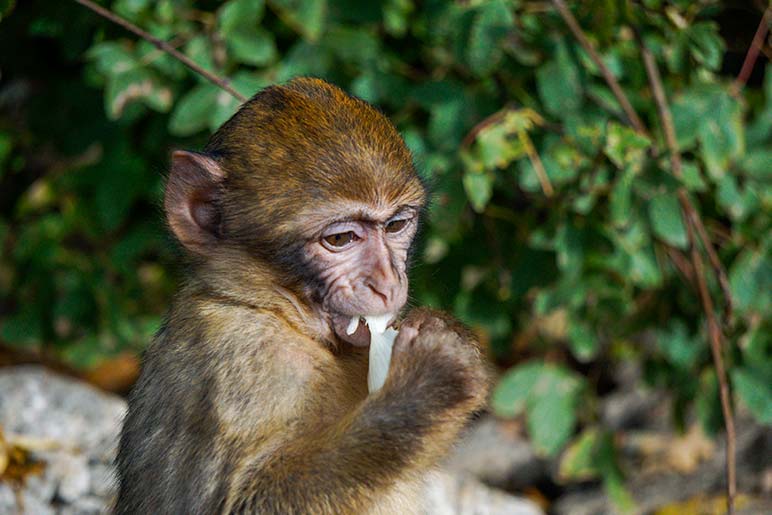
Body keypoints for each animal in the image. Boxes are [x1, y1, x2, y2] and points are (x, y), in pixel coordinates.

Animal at [114, 78, 488, 512]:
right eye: (340, 239)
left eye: (395, 226)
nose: (388, 283)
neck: (272, 309)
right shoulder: (243, 359)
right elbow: (248, 498)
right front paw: (432, 381)